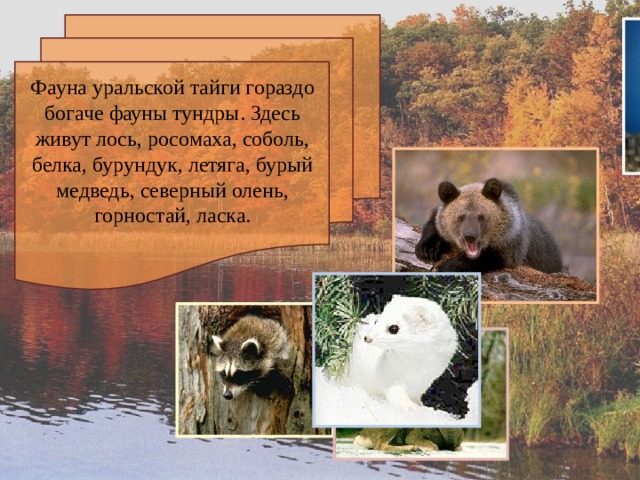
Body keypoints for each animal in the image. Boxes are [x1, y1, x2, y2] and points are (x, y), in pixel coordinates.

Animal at [415, 178, 563, 274]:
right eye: (461, 217)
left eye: (481, 217)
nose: (469, 236)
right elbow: (435, 222)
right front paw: (427, 250)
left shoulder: (512, 243)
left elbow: (491, 258)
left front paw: (449, 266)